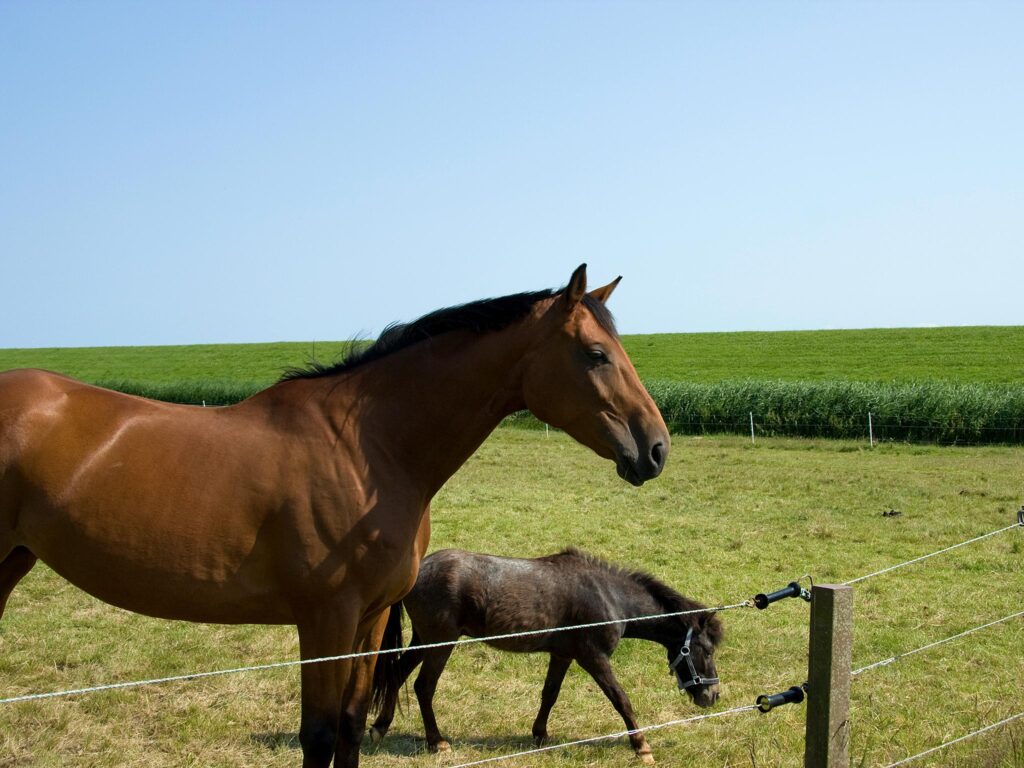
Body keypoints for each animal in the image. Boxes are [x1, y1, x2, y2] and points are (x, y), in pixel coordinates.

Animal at [0, 264, 671, 765]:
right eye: (596, 354)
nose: (656, 447)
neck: (367, 450)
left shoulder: (369, 620)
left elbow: (350, 728)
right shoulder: (325, 620)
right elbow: (319, 736)